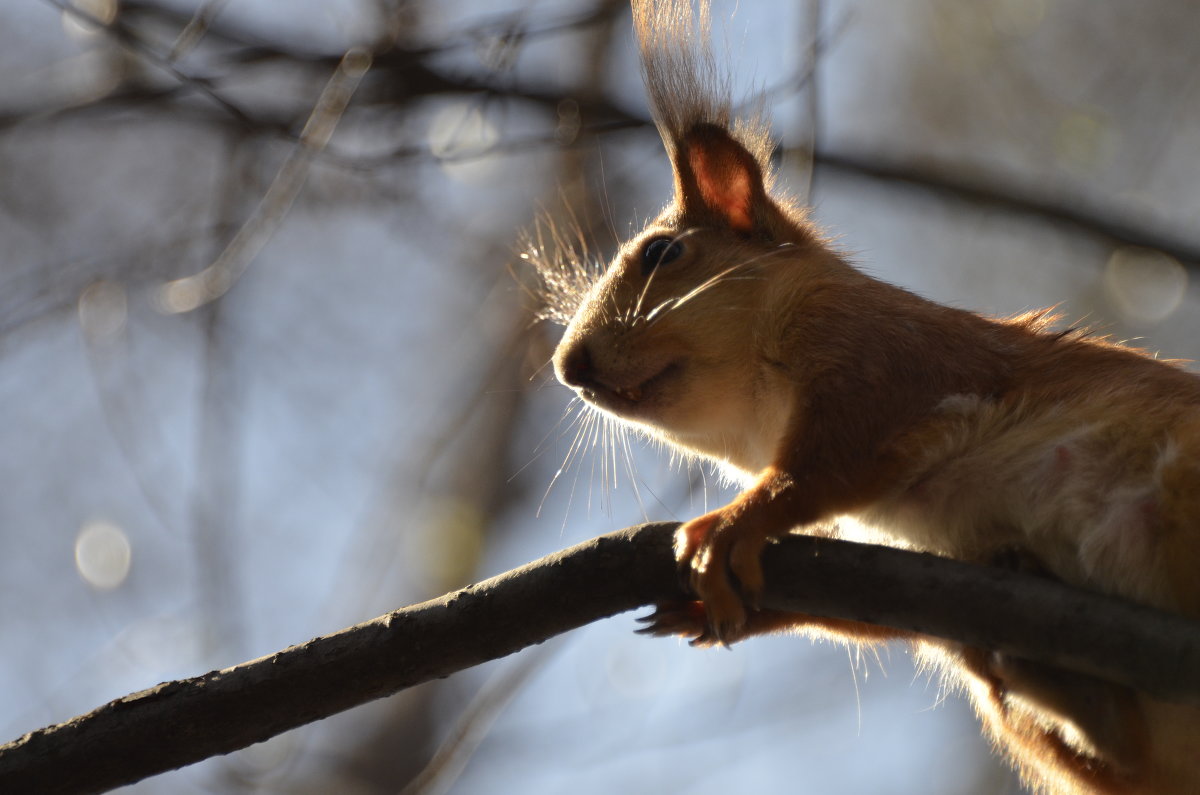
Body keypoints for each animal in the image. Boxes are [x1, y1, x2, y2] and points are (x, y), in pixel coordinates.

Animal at [532, 1, 1200, 795]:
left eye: (664, 253)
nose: (567, 367)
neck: (760, 411)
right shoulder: (900, 556)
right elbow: (876, 612)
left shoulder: (883, 362)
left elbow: (826, 465)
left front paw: (729, 521)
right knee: (1120, 753)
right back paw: (1057, 680)